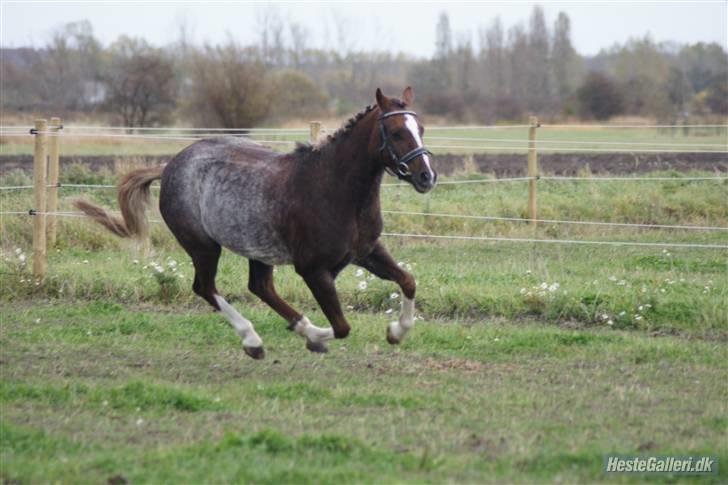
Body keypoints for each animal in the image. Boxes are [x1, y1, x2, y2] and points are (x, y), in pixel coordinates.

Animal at [75, 86, 437, 359]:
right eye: (396, 132)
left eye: (420, 130)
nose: (427, 176)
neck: (334, 189)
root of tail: (169, 166)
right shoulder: (313, 269)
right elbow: (342, 327)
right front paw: (317, 337)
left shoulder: (366, 251)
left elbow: (408, 281)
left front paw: (396, 332)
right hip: (203, 246)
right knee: (205, 287)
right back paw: (254, 340)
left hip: (257, 249)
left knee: (260, 287)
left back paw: (296, 331)